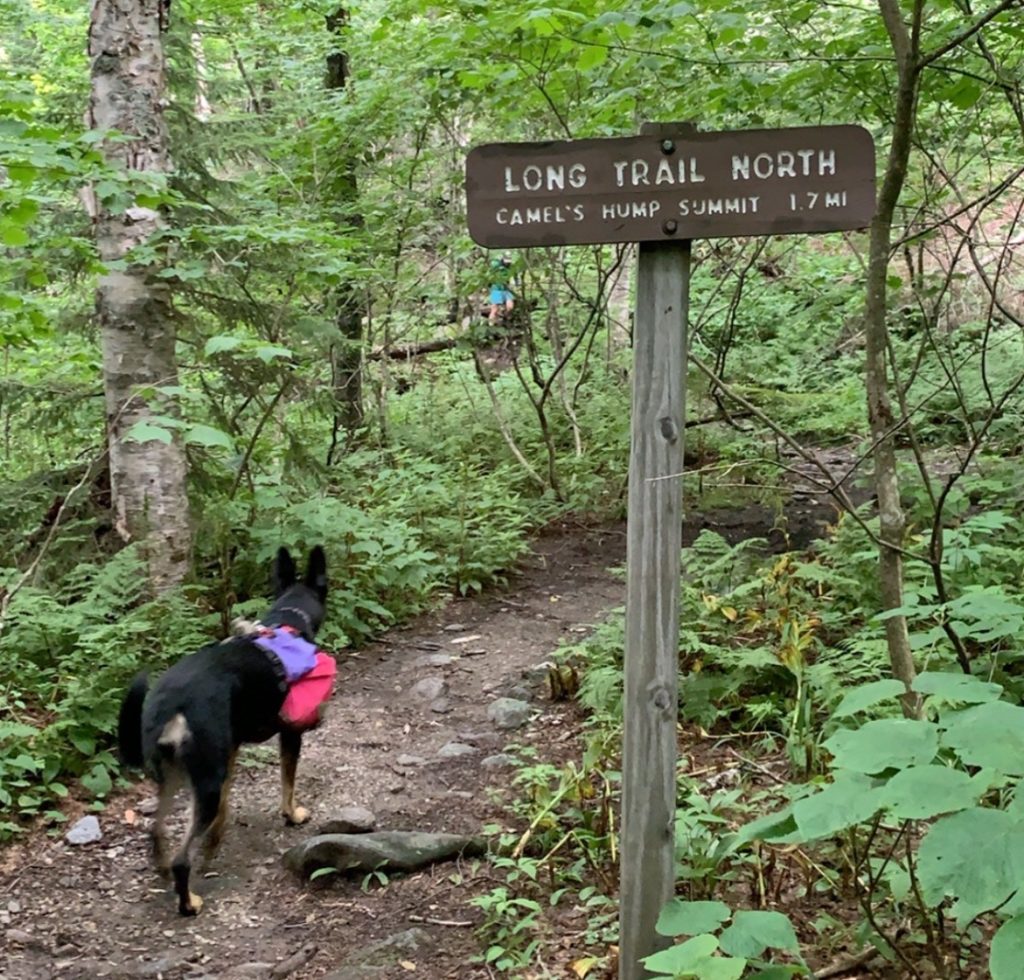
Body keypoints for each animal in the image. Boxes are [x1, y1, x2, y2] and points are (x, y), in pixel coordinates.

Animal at [119, 548, 327, 913]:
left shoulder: (229, 750)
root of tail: (173, 705)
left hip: (176, 775)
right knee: (182, 859)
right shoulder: (291, 733)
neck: (287, 622)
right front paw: (293, 815)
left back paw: (165, 870)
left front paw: (214, 843)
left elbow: (226, 809)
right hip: (204, 779)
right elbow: (288, 783)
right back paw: (189, 902)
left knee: (156, 832)